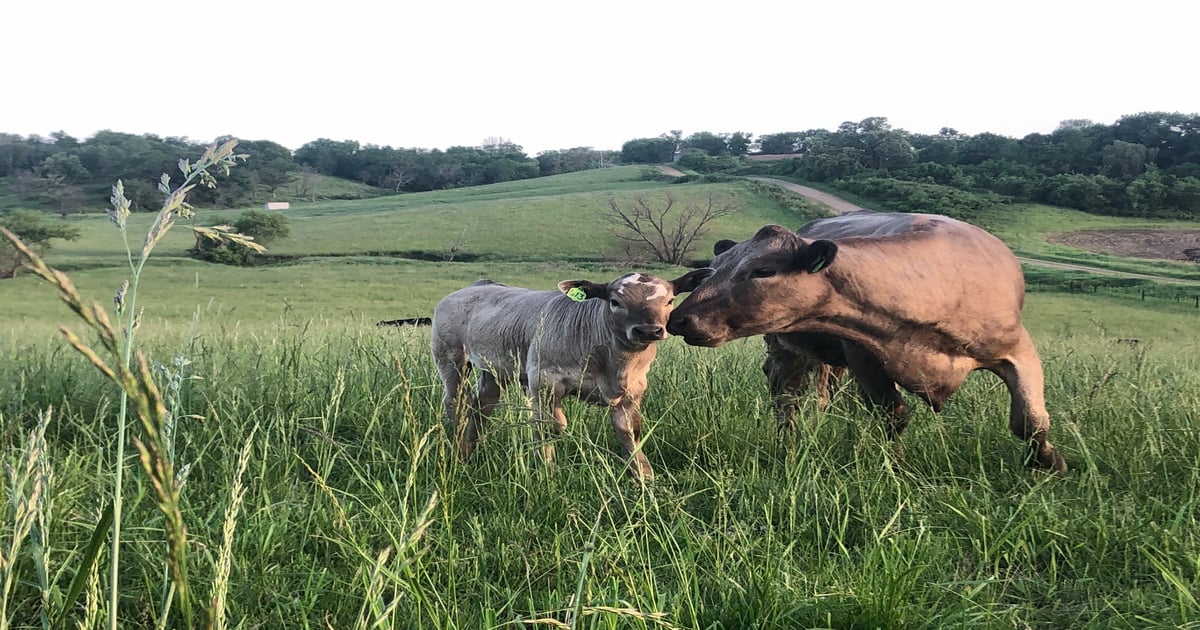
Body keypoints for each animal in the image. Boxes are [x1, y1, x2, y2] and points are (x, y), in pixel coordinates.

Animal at [431, 269, 712, 481]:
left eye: (670, 301)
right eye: (615, 302)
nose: (647, 330)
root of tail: (476, 285)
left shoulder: (632, 392)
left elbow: (630, 432)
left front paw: (644, 478)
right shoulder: (544, 380)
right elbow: (551, 426)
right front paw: (547, 473)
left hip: (493, 369)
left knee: (482, 406)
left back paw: (468, 451)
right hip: (451, 357)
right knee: (455, 403)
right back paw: (458, 448)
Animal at [668, 211, 1067, 473]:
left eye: (763, 271)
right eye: (712, 270)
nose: (679, 318)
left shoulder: (1018, 350)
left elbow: (1031, 420)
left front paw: (1050, 462)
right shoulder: (865, 356)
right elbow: (894, 415)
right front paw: (897, 464)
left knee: (822, 391)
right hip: (786, 347)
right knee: (786, 394)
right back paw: (790, 437)